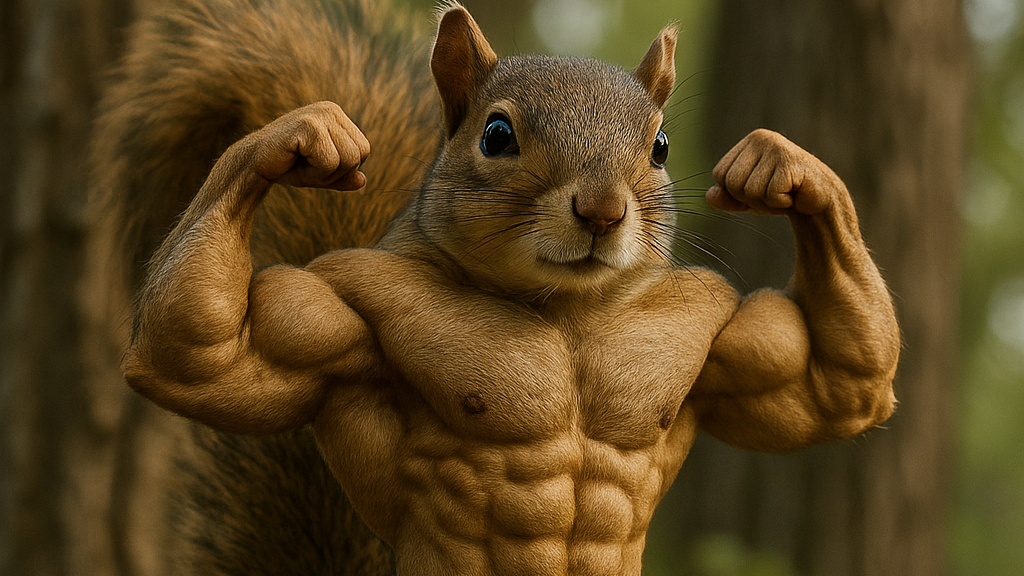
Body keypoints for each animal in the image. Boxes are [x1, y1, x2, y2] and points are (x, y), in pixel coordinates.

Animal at [92, 0, 900, 574]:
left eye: (662, 146)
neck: (566, 309)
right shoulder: (341, 300)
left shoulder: (716, 320)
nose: (602, 210)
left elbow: (833, 382)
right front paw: (296, 138)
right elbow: (206, 356)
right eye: (497, 136)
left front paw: (784, 168)